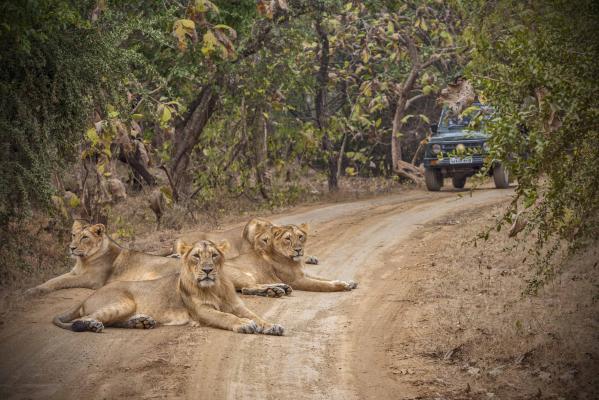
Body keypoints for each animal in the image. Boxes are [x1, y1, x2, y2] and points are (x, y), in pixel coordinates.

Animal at [25, 219, 180, 296]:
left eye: (85, 237)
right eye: (73, 235)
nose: (71, 248)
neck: (83, 260)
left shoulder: (92, 279)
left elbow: (63, 281)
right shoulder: (73, 272)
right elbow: (52, 280)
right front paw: (34, 289)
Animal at [52, 239, 284, 336]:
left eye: (214, 255)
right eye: (196, 256)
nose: (208, 270)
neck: (215, 287)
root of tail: (86, 298)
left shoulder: (238, 306)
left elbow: (256, 316)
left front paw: (272, 326)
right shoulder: (202, 312)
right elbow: (226, 317)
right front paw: (244, 325)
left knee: (112, 322)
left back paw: (141, 322)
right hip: (122, 302)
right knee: (82, 320)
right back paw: (93, 325)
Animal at [224, 223, 356, 296]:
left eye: (300, 236)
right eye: (288, 238)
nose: (298, 249)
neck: (296, 262)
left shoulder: (304, 273)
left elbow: (324, 278)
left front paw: (348, 282)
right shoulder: (297, 281)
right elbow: (320, 285)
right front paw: (341, 285)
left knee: (250, 287)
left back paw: (280, 288)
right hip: (243, 275)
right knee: (247, 288)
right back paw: (275, 291)